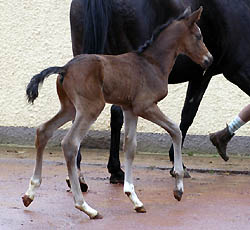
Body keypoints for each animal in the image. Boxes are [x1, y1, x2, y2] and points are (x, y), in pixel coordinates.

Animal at [22, 7, 212, 219]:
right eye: (199, 36)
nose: (209, 59)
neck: (152, 63)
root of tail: (65, 69)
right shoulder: (146, 106)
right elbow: (175, 131)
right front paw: (178, 187)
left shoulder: (130, 109)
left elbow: (130, 146)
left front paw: (134, 198)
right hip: (90, 107)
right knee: (70, 143)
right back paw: (85, 206)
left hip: (69, 108)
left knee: (43, 131)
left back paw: (30, 193)